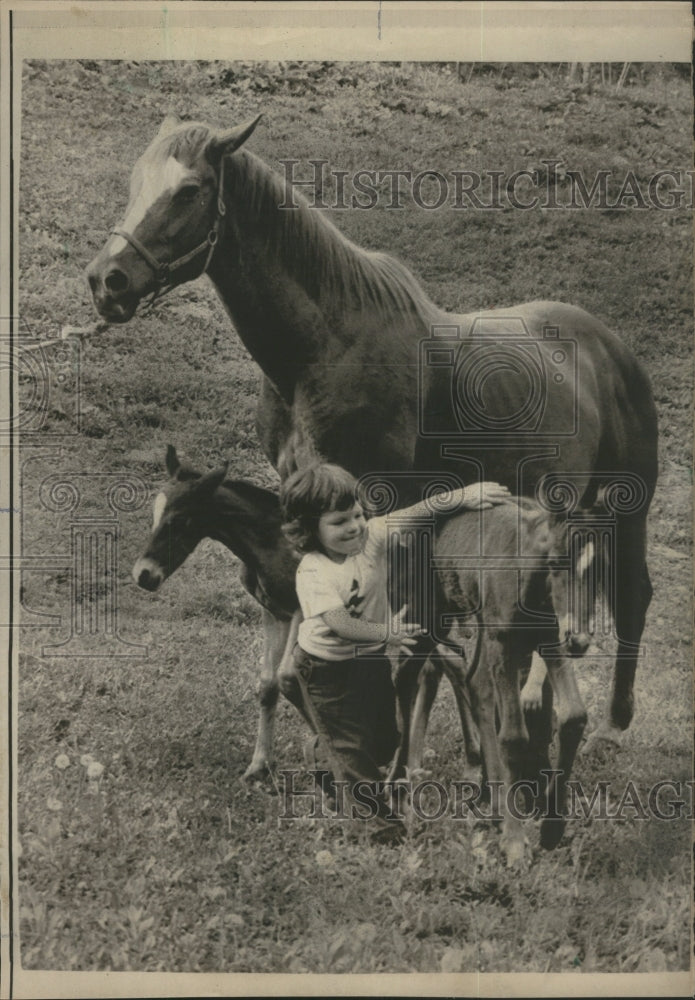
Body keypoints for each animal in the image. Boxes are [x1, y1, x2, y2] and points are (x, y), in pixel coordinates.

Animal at [87, 117, 656, 744]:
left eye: (188, 190)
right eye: (136, 181)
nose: (107, 280)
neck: (324, 347)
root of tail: (612, 347)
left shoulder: (376, 503)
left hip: (628, 507)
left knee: (632, 596)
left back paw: (614, 723)